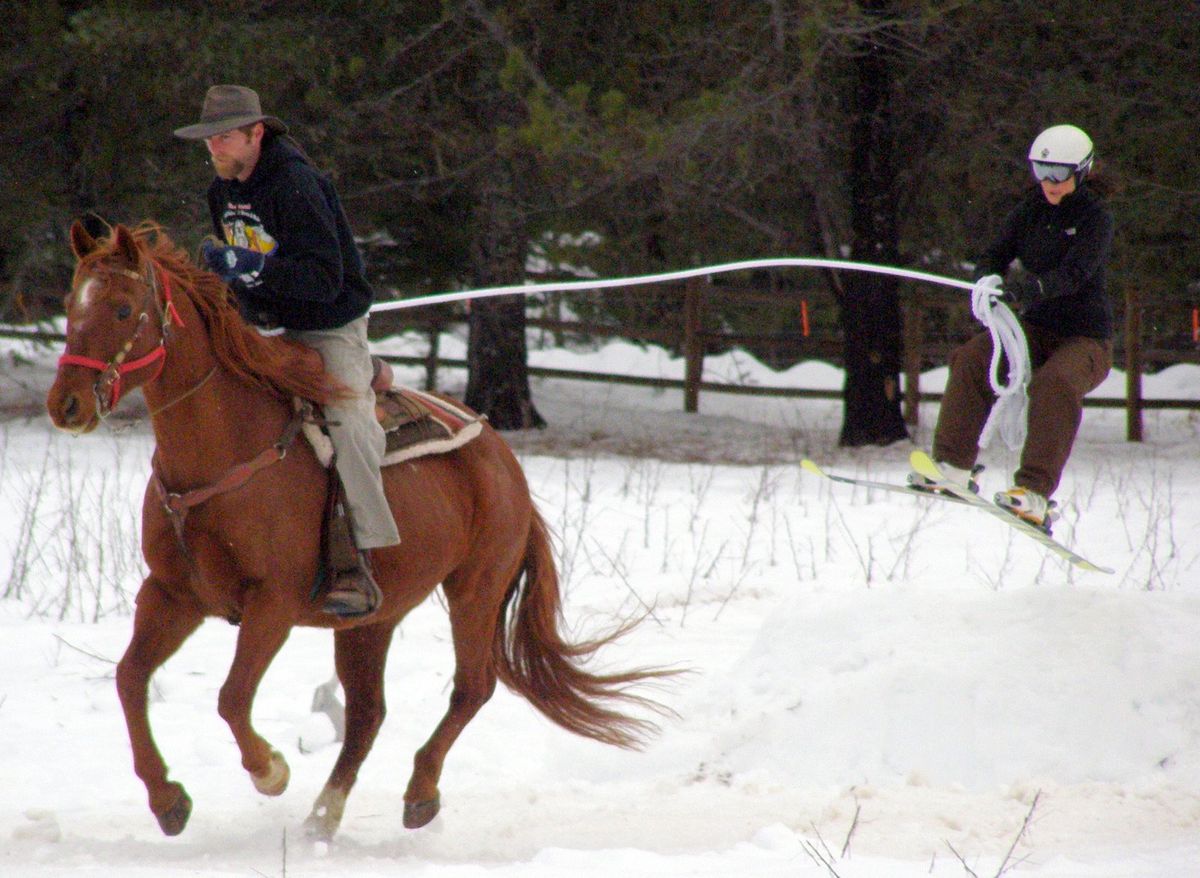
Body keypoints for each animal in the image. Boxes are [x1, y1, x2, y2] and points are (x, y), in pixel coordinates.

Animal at [46, 223, 672, 839]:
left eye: (123, 309)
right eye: (70, 303)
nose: (66, 405)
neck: (224, 456)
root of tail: (502, 458)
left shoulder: (272, 604)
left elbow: (232, 698)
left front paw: (271, 770)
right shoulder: (172, 594)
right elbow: (130, 678)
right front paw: (168, 800)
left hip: (475, 589)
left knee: (471, 688)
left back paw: (418, 794)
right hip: (372, 619)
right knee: (370, 712)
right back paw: (323, 815)